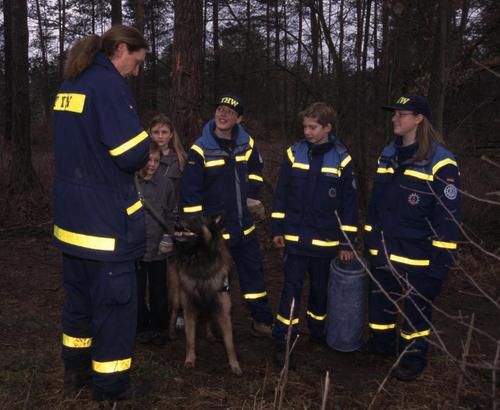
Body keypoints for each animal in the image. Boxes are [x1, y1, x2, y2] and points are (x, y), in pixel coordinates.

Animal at [168, 218, 242, 374]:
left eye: (196, 219)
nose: (176, 219)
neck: (199, 260)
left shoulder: (223, 308)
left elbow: (229, 343)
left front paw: (234, 364)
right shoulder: (189, 307)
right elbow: (190, 340)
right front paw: (189, 360)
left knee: (207, 316)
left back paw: (209, 335)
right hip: (177, 295)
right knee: (173, 311)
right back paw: (171, 332)